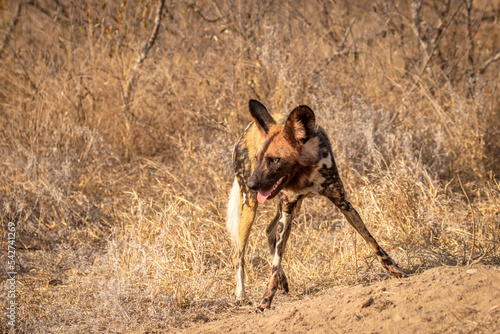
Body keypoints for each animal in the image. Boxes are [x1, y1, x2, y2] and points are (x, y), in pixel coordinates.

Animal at [227, 99, 406, 310]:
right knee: (239, 254)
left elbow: (371, 240)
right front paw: (265, 300)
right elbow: (276, 262)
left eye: (274, 160)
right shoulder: (287, 210)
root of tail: (247, 130)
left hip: (290, 205)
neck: (305, 173)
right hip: (250, 206)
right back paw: (241, 295)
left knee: (269, 231)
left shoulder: (341, 202)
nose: (252, 184)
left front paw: (395, 270)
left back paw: (282, 282)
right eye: (258, 159)